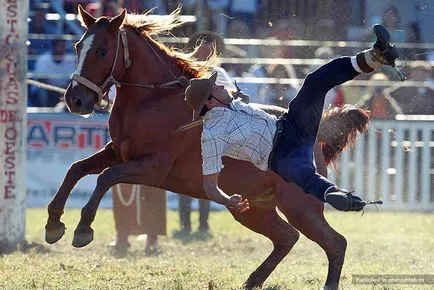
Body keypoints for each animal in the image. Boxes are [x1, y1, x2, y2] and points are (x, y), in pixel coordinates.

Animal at [45, 7, 370, 290]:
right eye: (77, 46)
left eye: (101, 50)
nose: (75, 100)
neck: (153, 101)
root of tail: (316, 138)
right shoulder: (118, 152)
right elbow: (77, 169)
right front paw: (53, 224)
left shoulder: (151, 168)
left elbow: (106, 177)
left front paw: (83, 229)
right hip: (252, 209)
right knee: (287, 237)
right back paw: (253, 280)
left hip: (300, 206)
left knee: (335, 242)